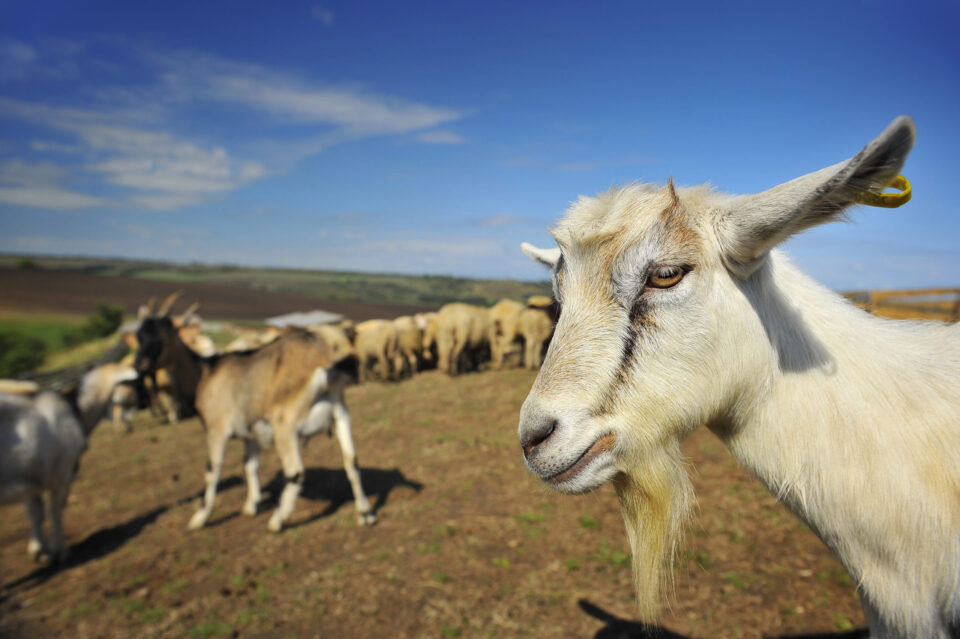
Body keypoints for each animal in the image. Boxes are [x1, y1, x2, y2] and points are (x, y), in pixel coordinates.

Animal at [0, 363, 137, 562]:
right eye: (130, 387)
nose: (129, 426)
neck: (75, 409)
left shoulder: (29, 476)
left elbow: (35, 513)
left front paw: (38, 550)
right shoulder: (62, 474)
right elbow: (56, 511)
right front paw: (59, 550)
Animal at [134, 313, 376, 532]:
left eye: (161, 338)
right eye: (139, 337)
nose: (139, 366)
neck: (206, 372)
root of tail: (322, 364)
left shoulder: (216, 429)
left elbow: (212, 470)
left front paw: (198, 519)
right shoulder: (250, 432)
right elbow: (249, 465)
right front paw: (251, 505)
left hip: (285, 423)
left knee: (295, 472)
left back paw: (277, 521)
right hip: (340, 413)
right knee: (352, 461)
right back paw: (365, 512)